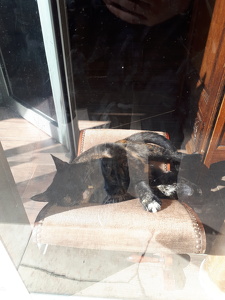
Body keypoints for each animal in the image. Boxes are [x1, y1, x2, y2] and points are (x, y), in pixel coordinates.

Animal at [30, 132, 201, 213]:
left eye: (71, 180)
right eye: (64, 196)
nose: (77, 193)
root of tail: (126, 138)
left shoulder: (130, 164)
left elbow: (139, 183)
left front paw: (149, 200)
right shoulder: (122, 196)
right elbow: (153, 188)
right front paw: (167, 192)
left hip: (154, 152)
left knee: (174, 155)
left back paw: (194, 159)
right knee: (162, 176)